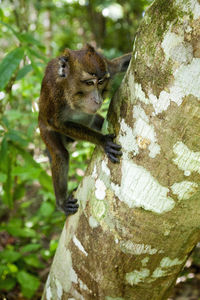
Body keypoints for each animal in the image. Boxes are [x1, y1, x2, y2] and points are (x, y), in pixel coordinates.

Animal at [38, 44, 132, 216]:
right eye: (89, 83)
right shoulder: (55, 94)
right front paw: (102, 140)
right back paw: (61, 203)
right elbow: (57, 122)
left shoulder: (107, 66)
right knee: (60, 155)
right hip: (44, 130)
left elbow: (118, 65)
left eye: (100, 82)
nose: (98, 99)